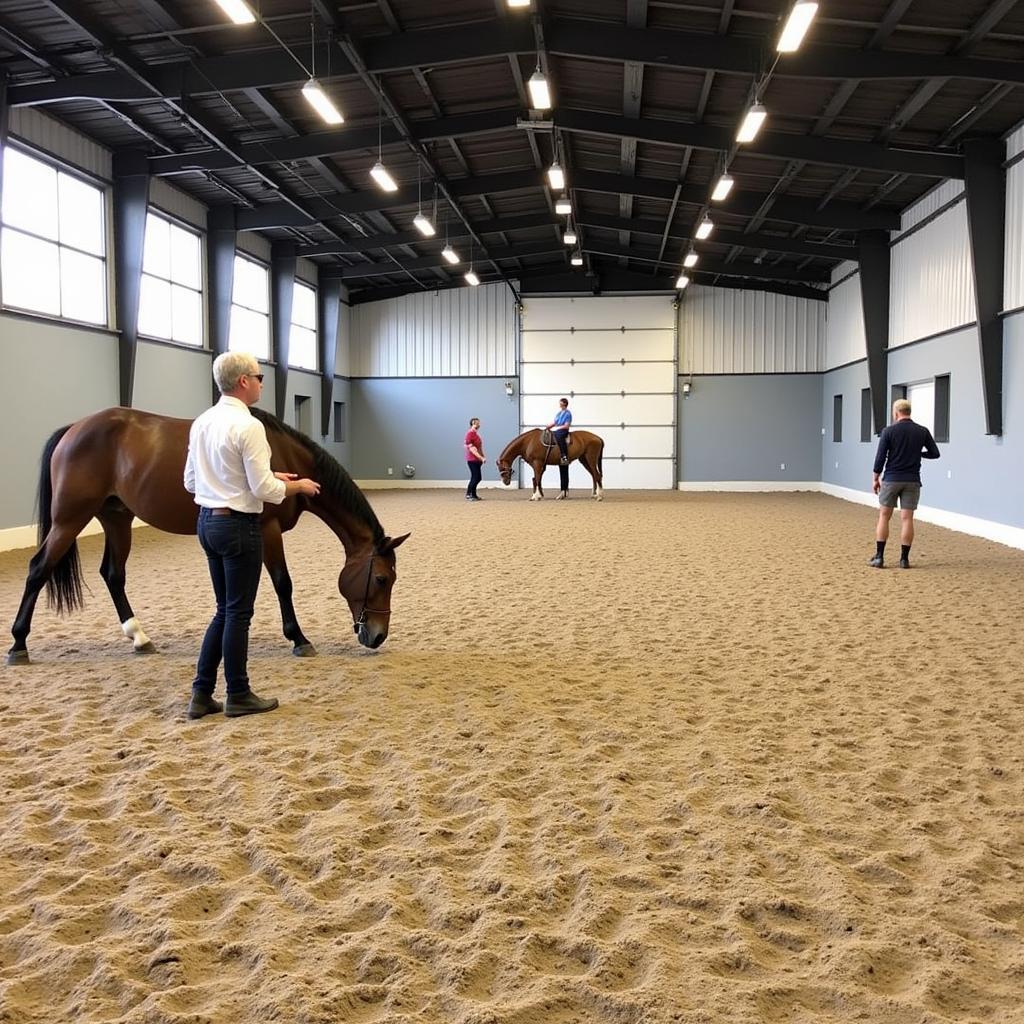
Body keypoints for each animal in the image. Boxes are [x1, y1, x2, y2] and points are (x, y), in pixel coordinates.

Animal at [9, 403, 407, 667]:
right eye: (382, 579)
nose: (377, 635)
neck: (284, 456)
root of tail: (75, 428)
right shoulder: (267, 530)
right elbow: (282, 583)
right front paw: (299, 638)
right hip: (69, 519)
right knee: (38, 569)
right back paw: (18, 645)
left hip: (116, 518)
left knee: (113, 574)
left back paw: (139, 637)